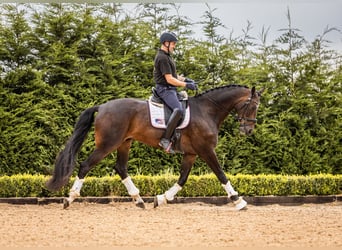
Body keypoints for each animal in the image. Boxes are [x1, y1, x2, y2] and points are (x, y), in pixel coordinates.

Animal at [46, 85, 264, 210]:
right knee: (85, 165)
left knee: (121, 168)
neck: (206, 111)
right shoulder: (206, 150)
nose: (248, 130)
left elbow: (182, 179)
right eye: (253, 106)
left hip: (124, 143)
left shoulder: (191, 153)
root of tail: (102, 106)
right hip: (108, 144)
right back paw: (69, 199)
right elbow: (221, 174)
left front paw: (161, 199)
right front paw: (238, 200)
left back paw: (139, 200)